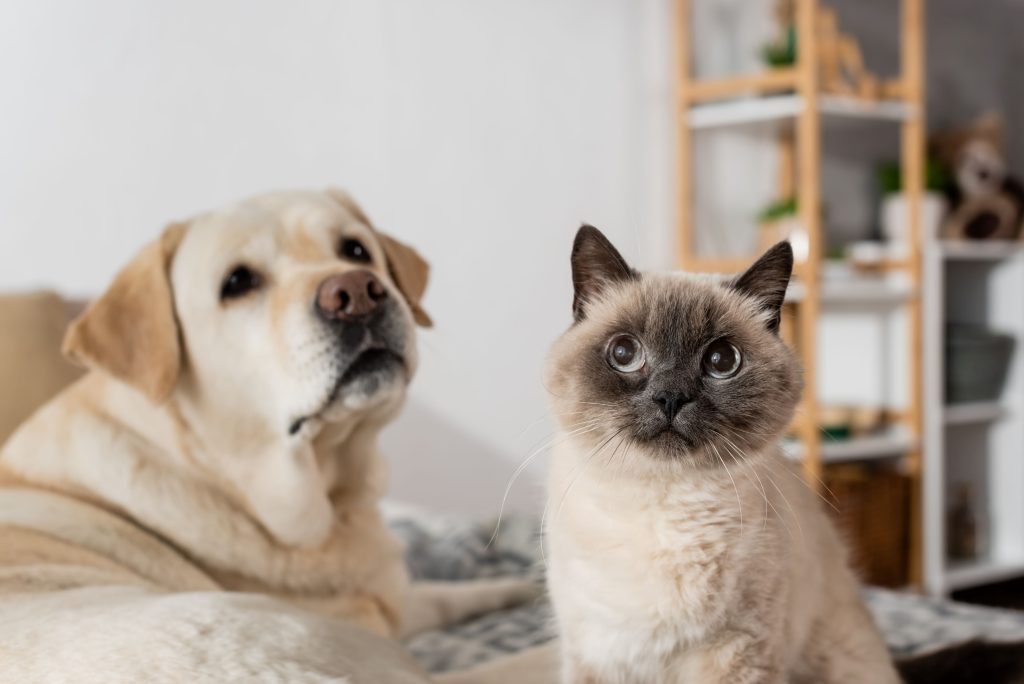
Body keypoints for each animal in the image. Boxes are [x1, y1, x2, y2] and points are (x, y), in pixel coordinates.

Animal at [2, 188, 536, 684]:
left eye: (356, 250)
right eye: (238, 282)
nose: (357, 292)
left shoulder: (398, 599)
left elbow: (451, 593)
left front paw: (522, 587)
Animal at [544, 225, 897, 684]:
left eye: (722, 360)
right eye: (624, 353)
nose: (670, 397)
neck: (662, 507)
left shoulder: (737, 651)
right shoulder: (597, 656)